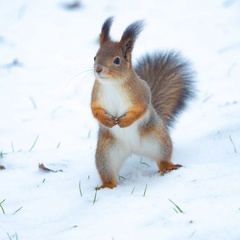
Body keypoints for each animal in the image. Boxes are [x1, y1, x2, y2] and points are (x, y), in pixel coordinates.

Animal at [91, 17, 194, 189]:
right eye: (95, 57)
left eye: (117, 60)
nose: (98, 69)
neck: (112, 84)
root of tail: (133, 149)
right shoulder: (95, 96)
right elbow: (94, 110)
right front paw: (107, 120)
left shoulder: (141, 94)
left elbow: (140, 108)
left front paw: (125, 122)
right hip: (107, 154)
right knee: (108, 173)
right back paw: (107, 186)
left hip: (158, 141)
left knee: (162, 158)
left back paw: (168, 167)